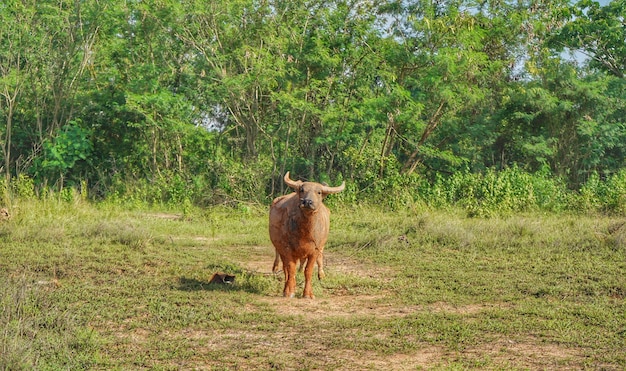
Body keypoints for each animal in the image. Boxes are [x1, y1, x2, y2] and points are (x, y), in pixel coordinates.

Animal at [268, 172, 344, 300]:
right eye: (302, 190)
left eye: (319, 192)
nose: (307, 202)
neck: (305, 232)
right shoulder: (287, 249)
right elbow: (291, 269)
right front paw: (289, 291)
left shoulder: (314, 251)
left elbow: (308, 271)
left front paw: (308, 294)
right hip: (280, 249)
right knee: (285, 269)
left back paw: (321, 275)